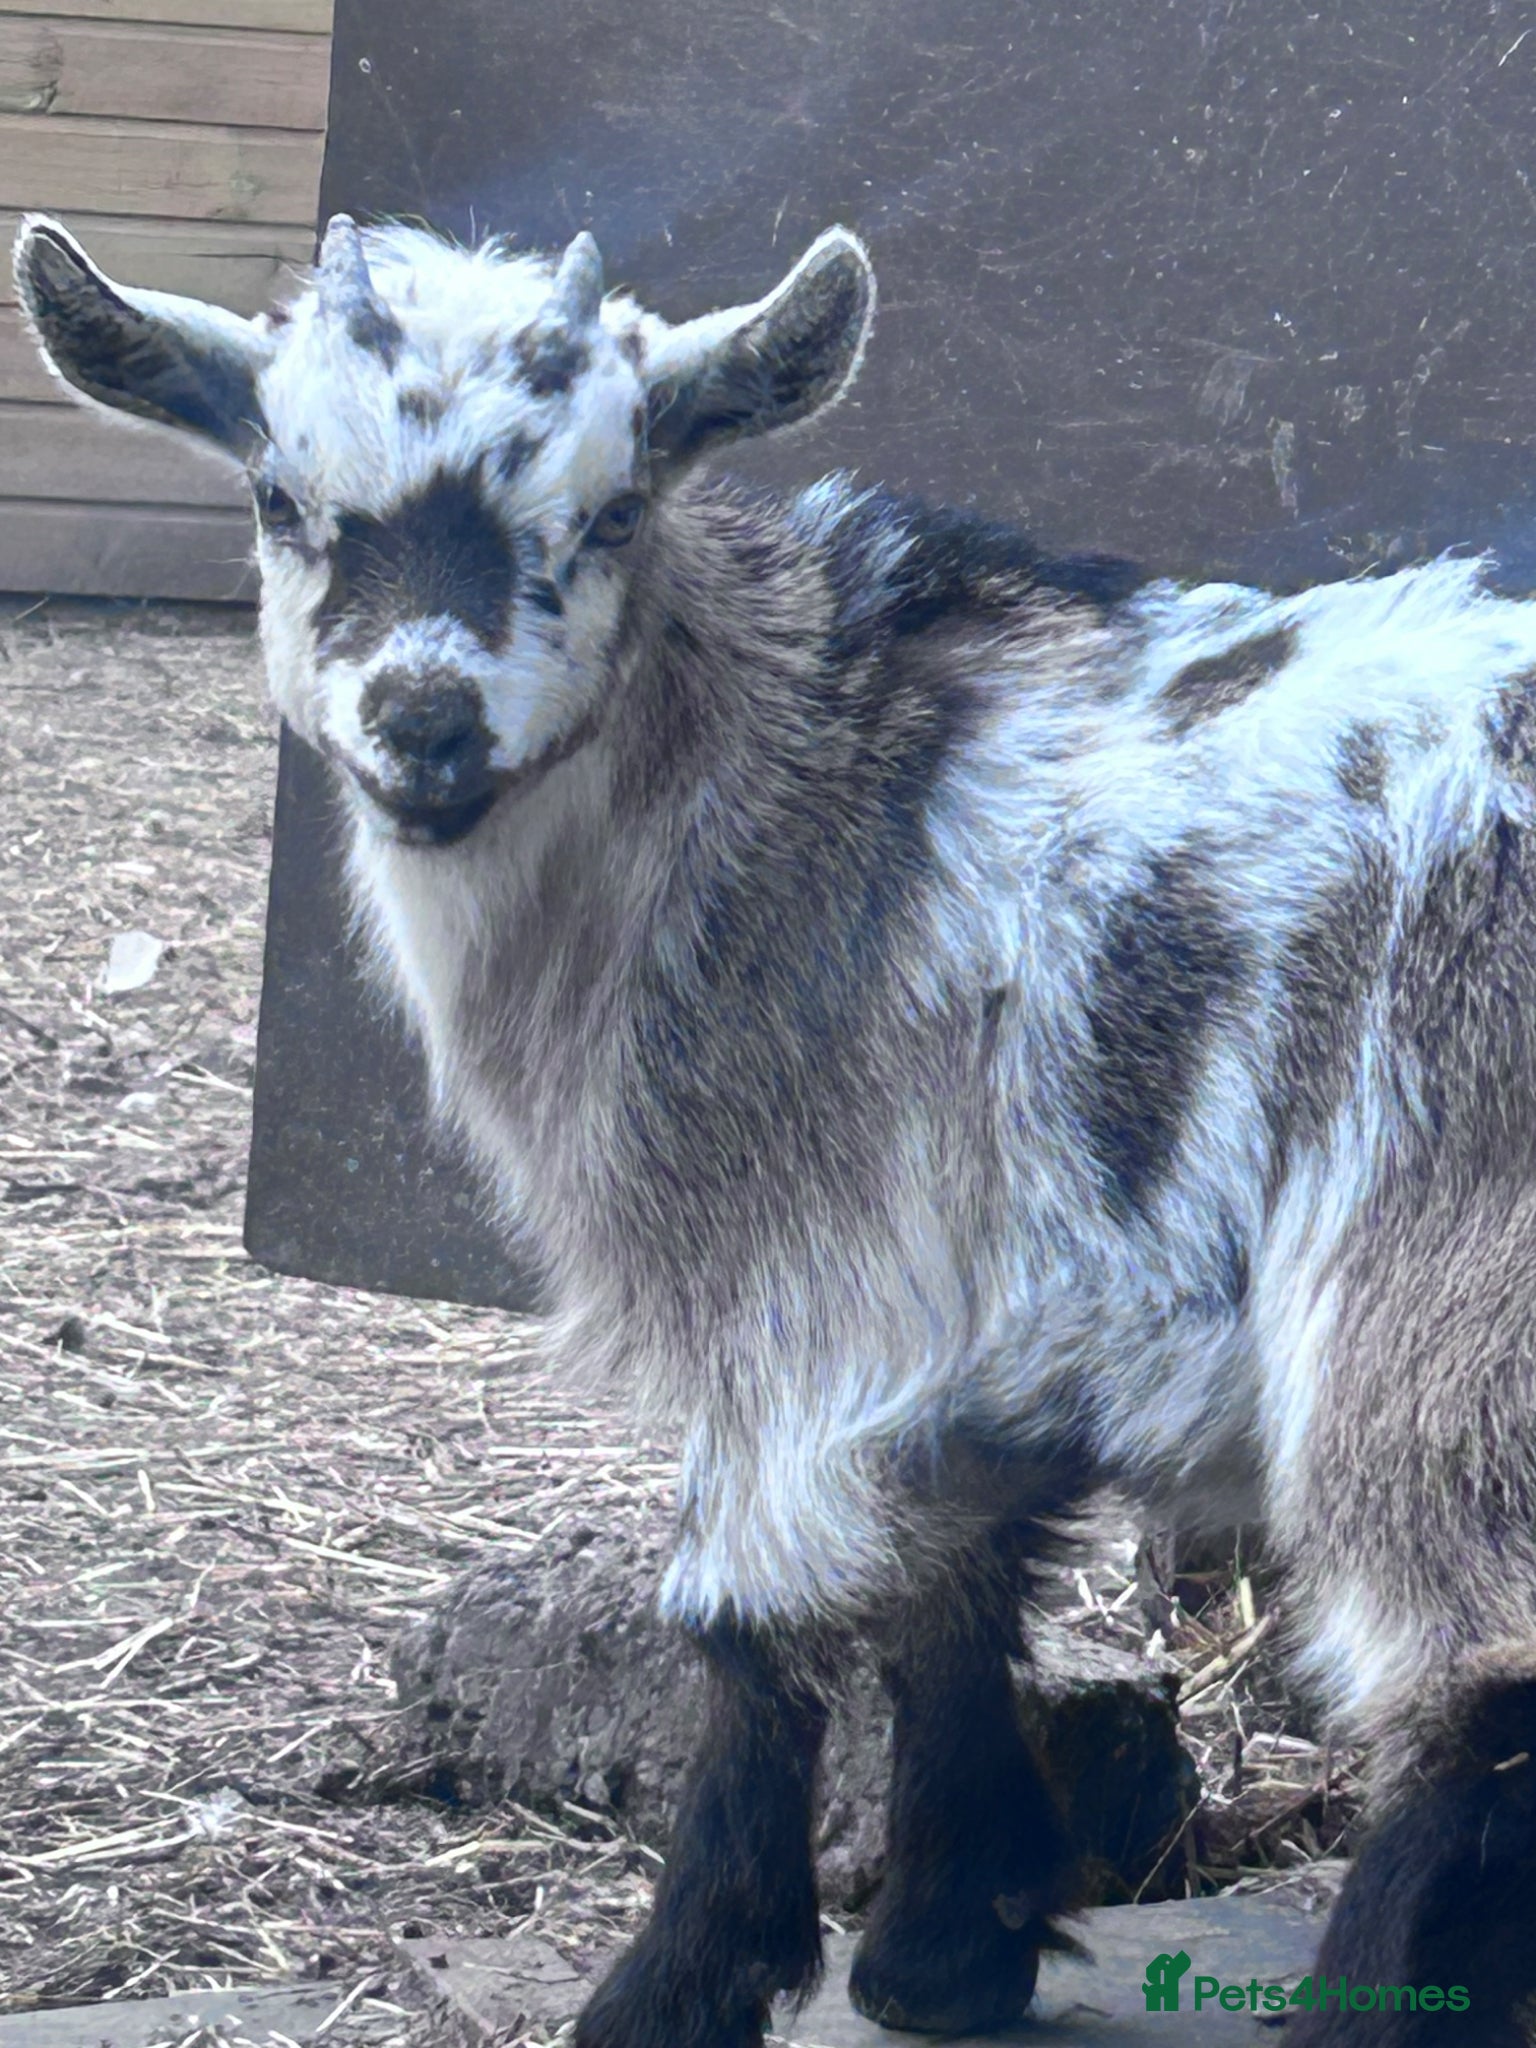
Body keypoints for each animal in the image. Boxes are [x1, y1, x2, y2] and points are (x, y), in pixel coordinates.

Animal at [16, 207, 1536, 2046]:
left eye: (612, 509)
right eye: (278, 496)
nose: (427, 720)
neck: (793, 786)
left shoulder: (804, 1256)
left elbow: (747, 1620)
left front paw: (682, 1979)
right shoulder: (982, 1299)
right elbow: (956, 1577)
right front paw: (947, 1945)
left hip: (1438, 1257)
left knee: (1476, 1674)